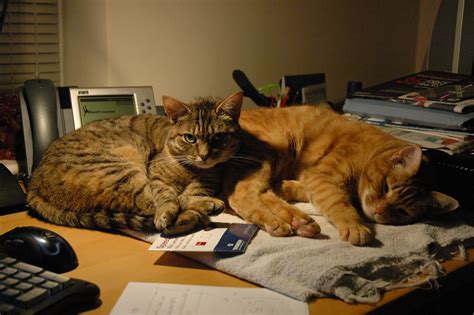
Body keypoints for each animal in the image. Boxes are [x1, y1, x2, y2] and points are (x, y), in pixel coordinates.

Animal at [27, 92, 243, 236]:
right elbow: (169, 198)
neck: (191, 171)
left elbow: (187, 194)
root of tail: (33, 184)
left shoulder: (206, 184)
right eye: (190, 138)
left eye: (218, 137)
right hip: (124, 173)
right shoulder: (155, 175)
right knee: (151, 206)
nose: (204, 156)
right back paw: (200, 212)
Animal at [226, 104, 460, 247]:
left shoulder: (312, 179)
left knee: (259, 194)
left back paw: (298, 222)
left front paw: (285, 186)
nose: (378, 211)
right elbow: (338, 202)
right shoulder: (322, 176)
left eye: (402, 211)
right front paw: (354, 225)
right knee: (239, 196)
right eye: (385, 187)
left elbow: (299, 189)